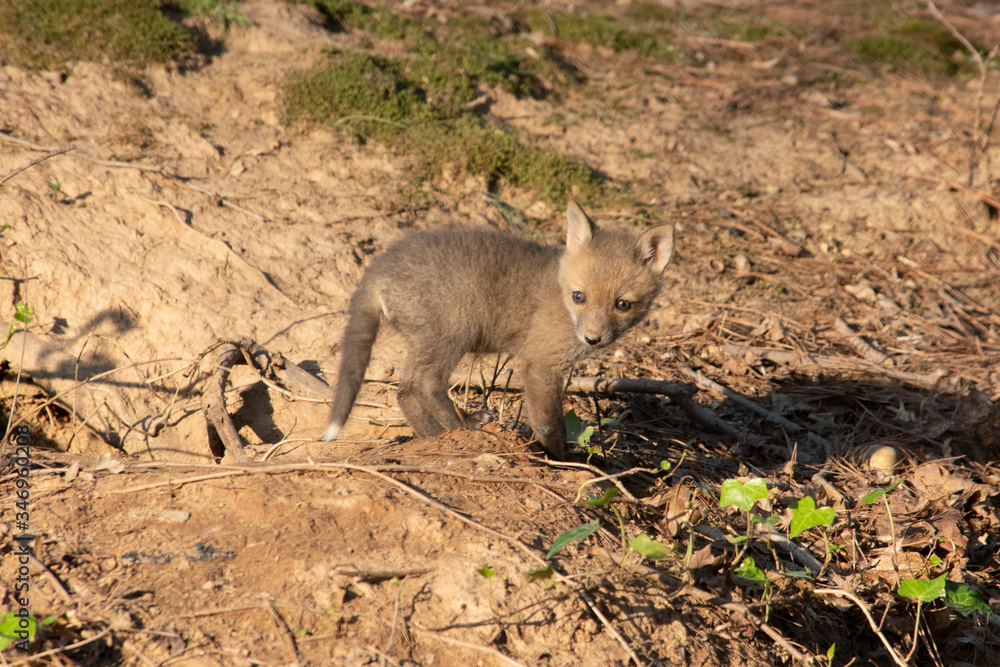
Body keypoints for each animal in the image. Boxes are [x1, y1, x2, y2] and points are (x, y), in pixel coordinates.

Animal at [322, 202, 674, 458]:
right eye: (580, 297)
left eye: (623, 304)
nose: (593, 338)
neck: (560, 293)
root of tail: (378, 265)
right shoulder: (540, 365)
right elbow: (552, 427)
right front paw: (563, 461)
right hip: (454, 332)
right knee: (425, 385)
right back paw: (464, 428)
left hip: (423, 341)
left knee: (405, 391)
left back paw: (435, 437)